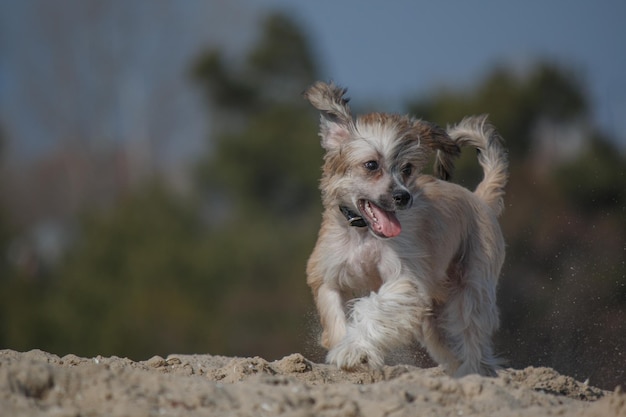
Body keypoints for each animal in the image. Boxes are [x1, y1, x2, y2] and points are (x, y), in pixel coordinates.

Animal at [302, 79, 508, 376]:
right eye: (371, 165)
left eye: (407, 168)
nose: (403, 196)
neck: (364, 235)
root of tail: (480, 199)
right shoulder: (328, 278)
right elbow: (335, 315)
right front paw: (345, 348)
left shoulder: (406, 281)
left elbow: (374, 308)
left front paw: (355, 349)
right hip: (436, 315)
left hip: (471, 289)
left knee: (472, 333)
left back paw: (474, 374)